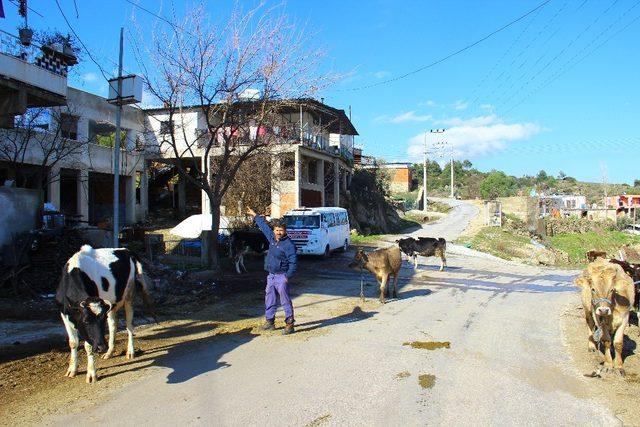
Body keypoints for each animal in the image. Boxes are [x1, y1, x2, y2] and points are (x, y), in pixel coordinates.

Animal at [55, 244, 153, 384]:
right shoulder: (64, 313)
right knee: (113, 325)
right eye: (86, 320)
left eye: (101, 321)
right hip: (111, 305)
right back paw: (110, 352)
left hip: (129, 296)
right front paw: (72, 369)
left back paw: (130, 351)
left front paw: (91, 374)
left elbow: (88, 346)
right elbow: (73, 342)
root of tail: (126, 250)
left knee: (129, 325)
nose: (102, 347)